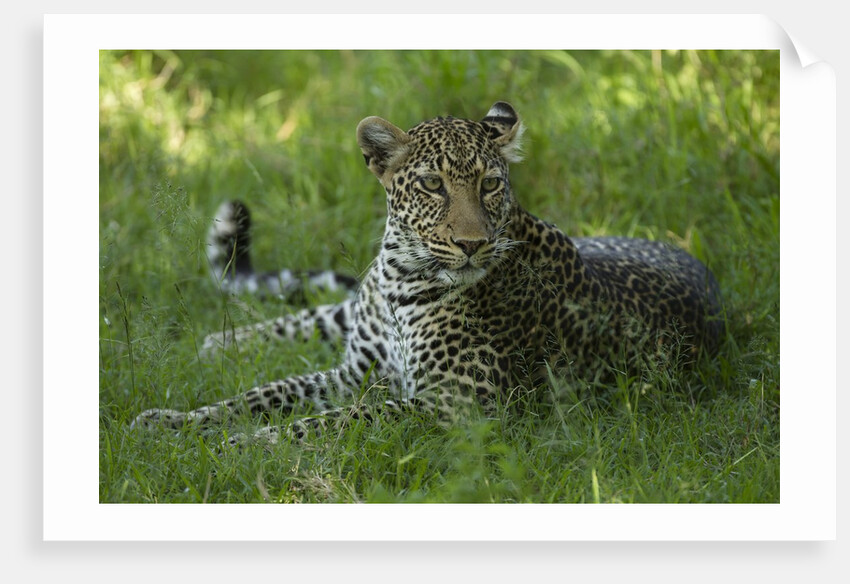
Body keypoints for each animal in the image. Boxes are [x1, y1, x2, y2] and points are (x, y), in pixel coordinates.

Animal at [131, 101, 724, 445]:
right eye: (433, 185)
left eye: (490, 184)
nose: (472, 244)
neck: (401, 276)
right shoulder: (354, 373)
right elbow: (262, 394)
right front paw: (174, 421)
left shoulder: (452, 406)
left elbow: (334, 420)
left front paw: (248, 444)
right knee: (312, 315)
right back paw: (218, 344)